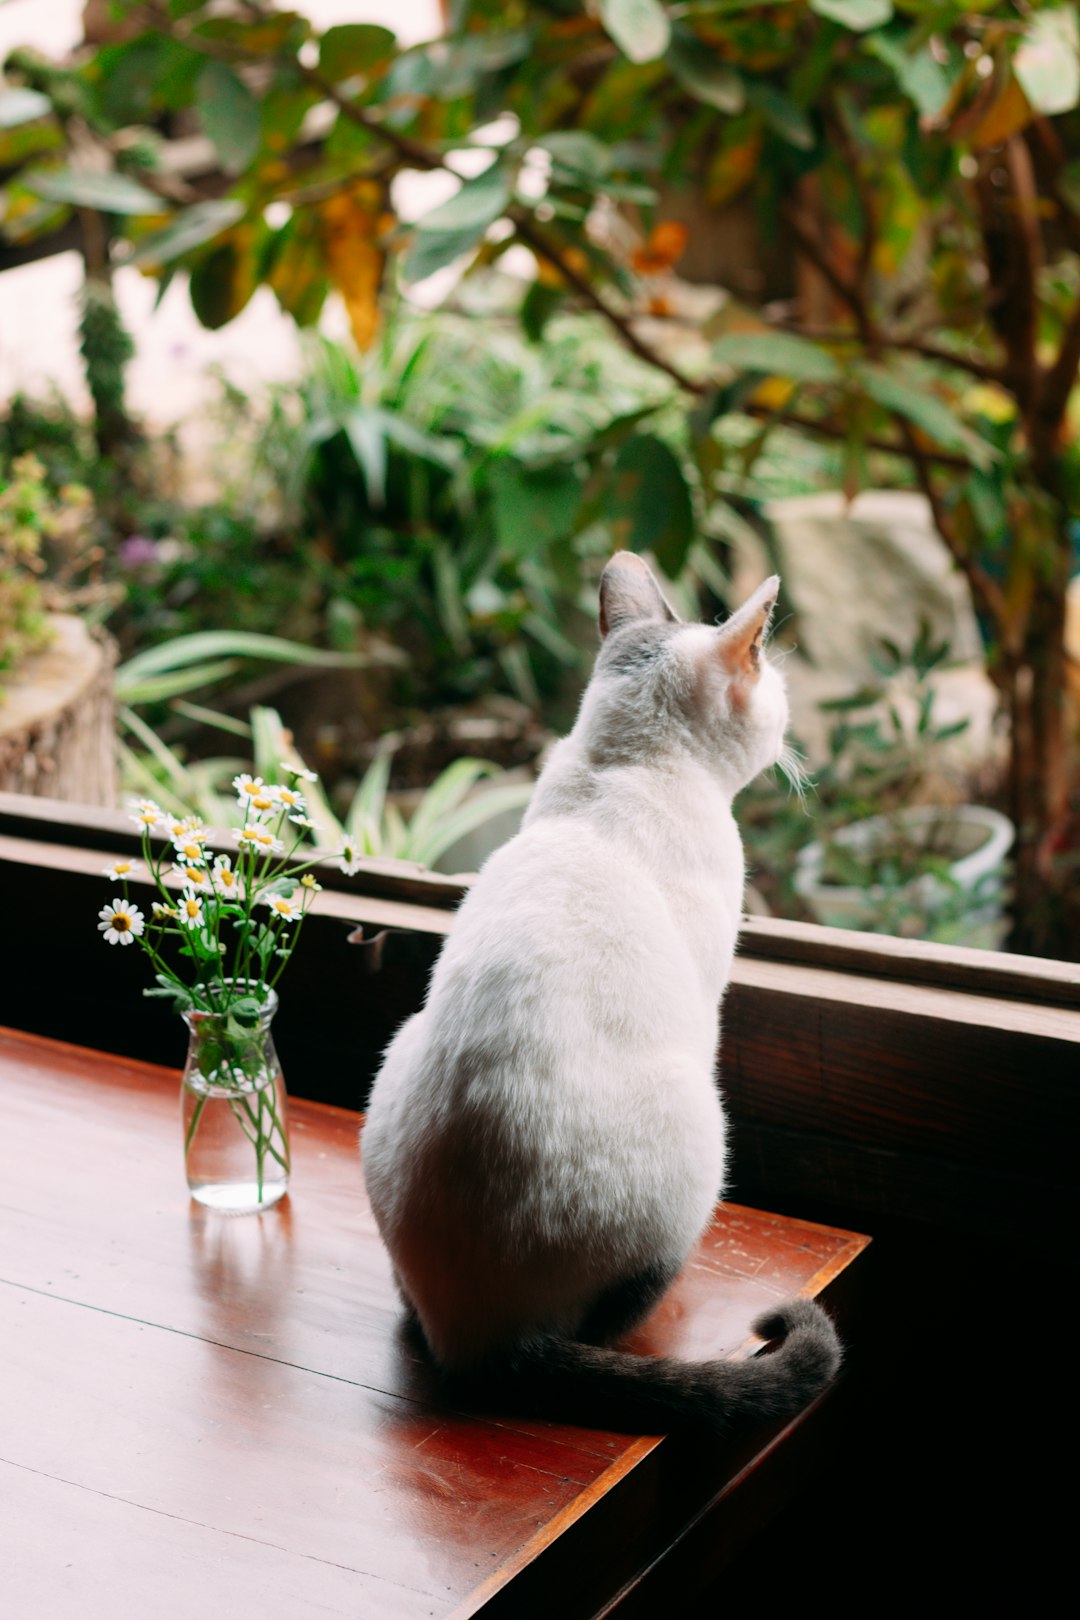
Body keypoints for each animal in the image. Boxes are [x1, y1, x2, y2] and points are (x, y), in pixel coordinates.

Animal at [362, 557, 841, 1432]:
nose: (792, 740)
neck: (622, 764)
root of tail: (480, 1346)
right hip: (701, 1130)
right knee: (616, 1313)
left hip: (397, 1058)